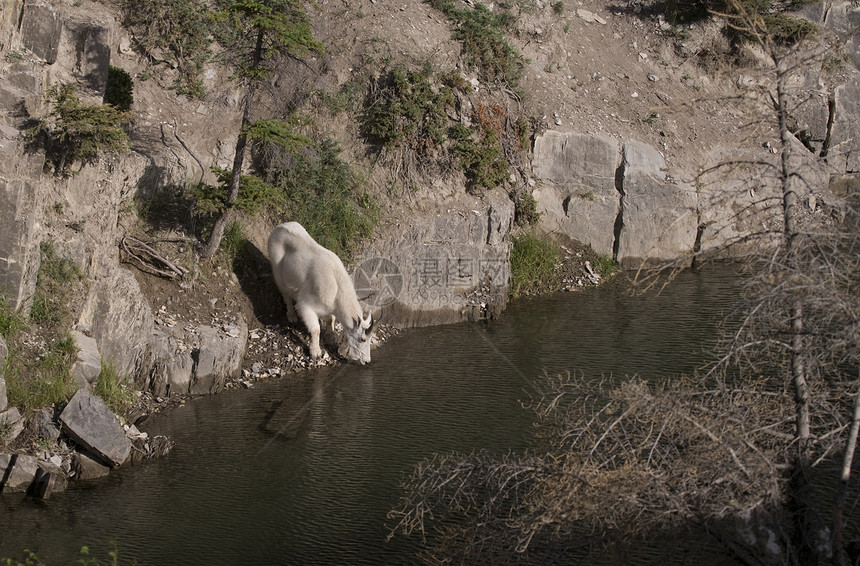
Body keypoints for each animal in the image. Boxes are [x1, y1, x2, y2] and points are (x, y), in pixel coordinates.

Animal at [268, 221, 376, 364]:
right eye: (362, 339)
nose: (367, 361)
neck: (337, 293)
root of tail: (278, 228)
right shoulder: (306, 304)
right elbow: (315, 329)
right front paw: (315, 352)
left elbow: (330, 320)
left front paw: (331, 339)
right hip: (277, 269)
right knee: (285, 294)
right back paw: (292, 316)